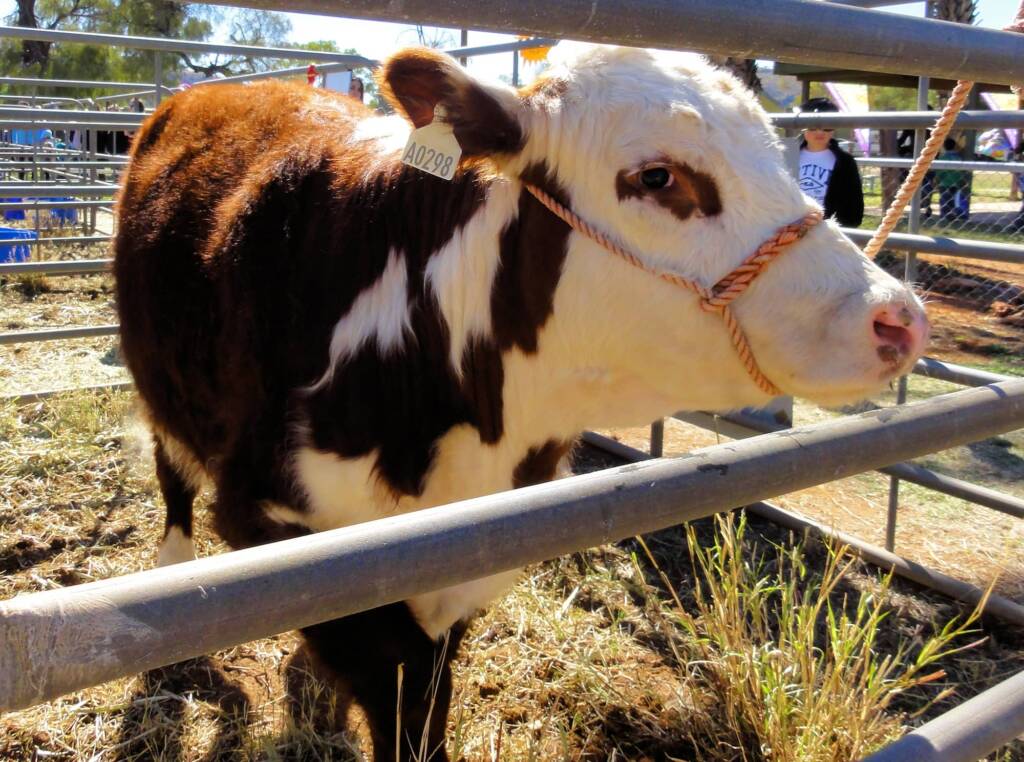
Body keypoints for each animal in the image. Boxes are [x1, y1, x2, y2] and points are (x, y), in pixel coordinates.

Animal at [113, 45, 928, 761]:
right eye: (657, 175)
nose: (896, 319)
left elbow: (428, 695)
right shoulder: (270, 519)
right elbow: (393, 683)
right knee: (172, 473)